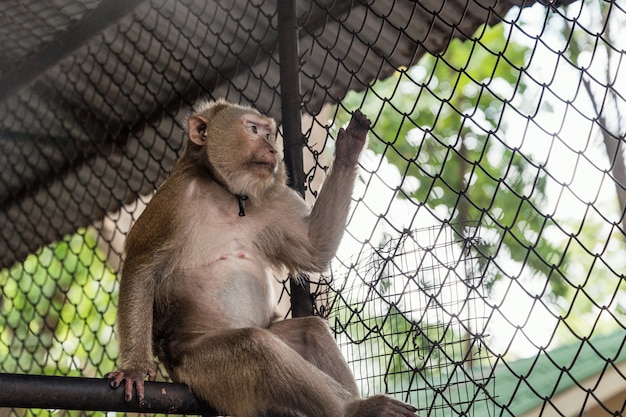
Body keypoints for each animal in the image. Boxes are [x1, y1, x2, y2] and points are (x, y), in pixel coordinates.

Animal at [105, 98, 416, 416]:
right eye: (253, 130)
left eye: (269, 134)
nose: (272, 150)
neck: (224, 192)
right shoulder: (174, 200)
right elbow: (141, 265)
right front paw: (134, 369)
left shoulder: (270, 199)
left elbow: (314, 248)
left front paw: (348, 150)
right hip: (199, 365)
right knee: (255, 346)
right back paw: (355, 409)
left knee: (310, 330)